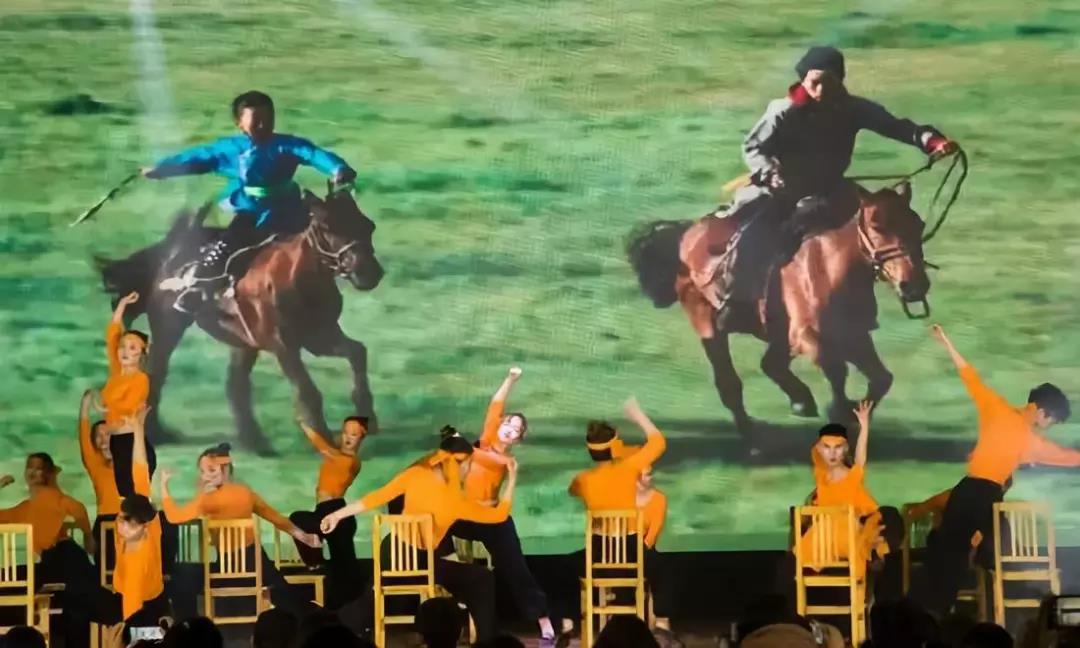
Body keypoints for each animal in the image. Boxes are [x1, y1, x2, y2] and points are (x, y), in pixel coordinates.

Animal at [97, 186, 384, 454]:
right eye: (327, 227)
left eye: (368, 225)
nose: (369, 273)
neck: (296, 277)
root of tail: (169, 252)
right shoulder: (283, 345)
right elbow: (308, 390)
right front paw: (324, 437)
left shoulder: (319, 336)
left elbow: (358, 352)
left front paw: (366, 415)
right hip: (169, 326)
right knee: (157, 372)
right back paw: (158, 433)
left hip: (243, 343)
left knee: (235, 385)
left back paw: (254, 441)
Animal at [626, 182, 931, 445]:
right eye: (877, 225)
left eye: (918, 224)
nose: (913, 285)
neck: (827, 265)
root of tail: (688, 233)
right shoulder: (808, 335)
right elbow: (835, 368)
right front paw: (840, 409)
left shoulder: (854, 336)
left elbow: (881, 378)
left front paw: (853, 412)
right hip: (708, 324)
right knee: (730, 384)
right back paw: (754, 439)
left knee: (770, 364)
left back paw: (800, 400)